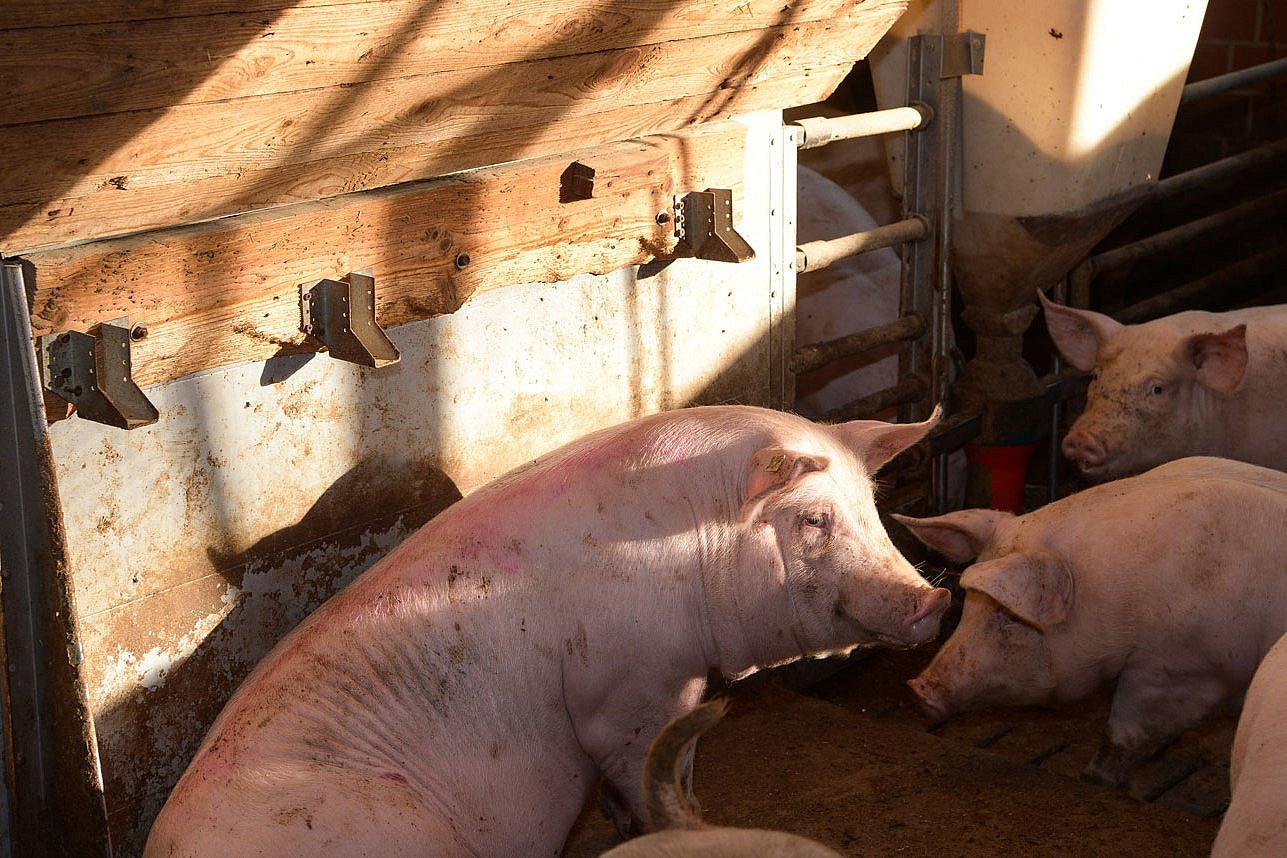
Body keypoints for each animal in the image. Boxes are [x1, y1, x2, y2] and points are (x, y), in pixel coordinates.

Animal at [890, 460, 1287, 787]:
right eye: (969, 605)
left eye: (1011, 616)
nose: (916, 687)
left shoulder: (1179, 668)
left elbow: (1125, 732)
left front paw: (1093, 778)